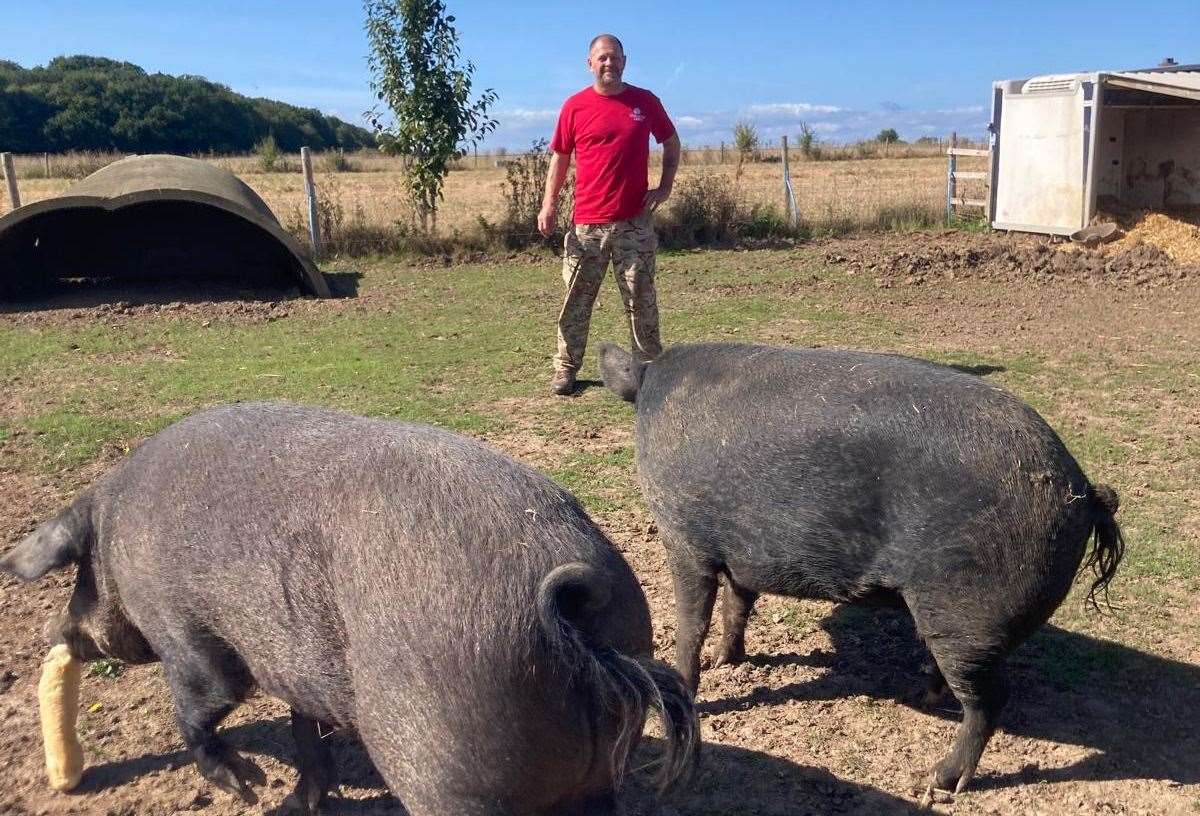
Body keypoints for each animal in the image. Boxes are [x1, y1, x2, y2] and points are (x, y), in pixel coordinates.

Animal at [0, 403, 700, 816]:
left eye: (80, 574)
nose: (55, 629)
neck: (117, 535)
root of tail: (562, 600)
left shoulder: (187, 632)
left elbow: (202, 706)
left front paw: (251, 789)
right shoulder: (301, 674)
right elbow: (306, 736)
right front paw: (298, 803)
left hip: (453, 767)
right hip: (596, 767)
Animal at [600, 340, 1123, 801]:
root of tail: (1084, 492)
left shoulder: (684, 538)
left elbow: (691, 624)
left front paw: (693, 681)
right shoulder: (744, 554)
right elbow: (738, 604)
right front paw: (725, 661)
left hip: (971, 616)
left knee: (990, 700)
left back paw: (938, 782)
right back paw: (925, 693)